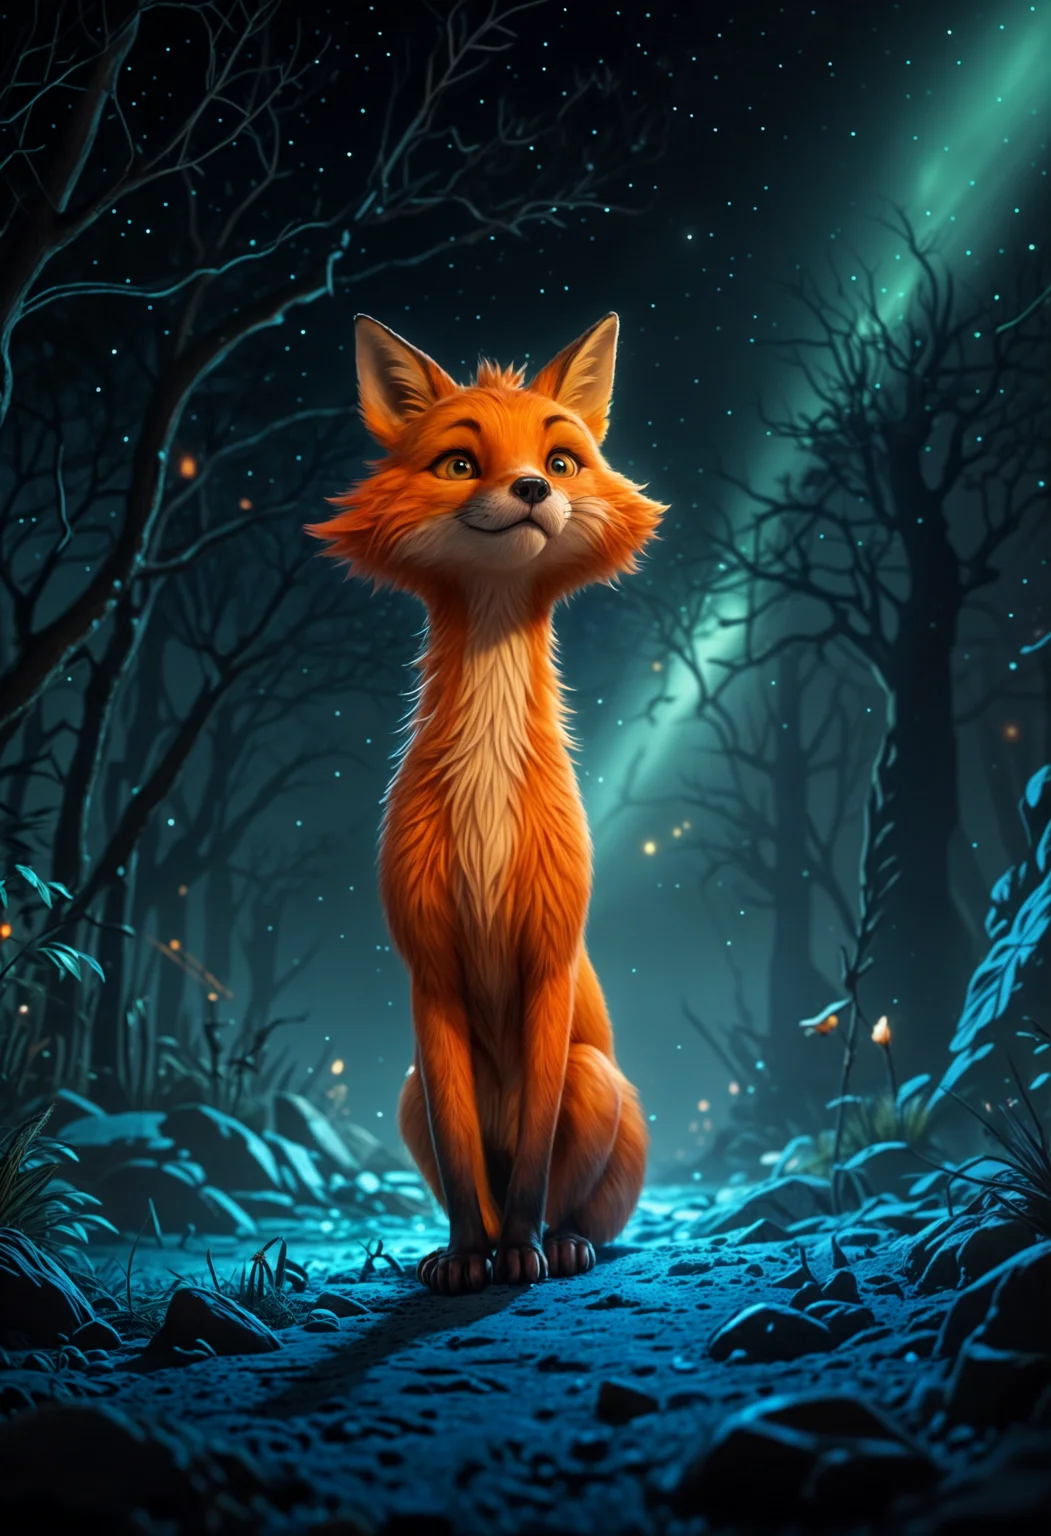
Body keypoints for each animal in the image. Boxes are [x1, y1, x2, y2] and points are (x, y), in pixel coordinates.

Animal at [306, 312, 667, 1295]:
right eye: (462, 463)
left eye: (562, 458)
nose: (534, 488)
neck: (486, 807)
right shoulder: (427, 974)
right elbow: (462, 1152)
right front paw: (468, 1257)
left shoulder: (549, 963)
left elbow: (535, 1157)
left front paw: (525, 1256)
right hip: (401, 1091)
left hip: (596, 1077)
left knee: (580, 1195)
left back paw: (566, 1244)